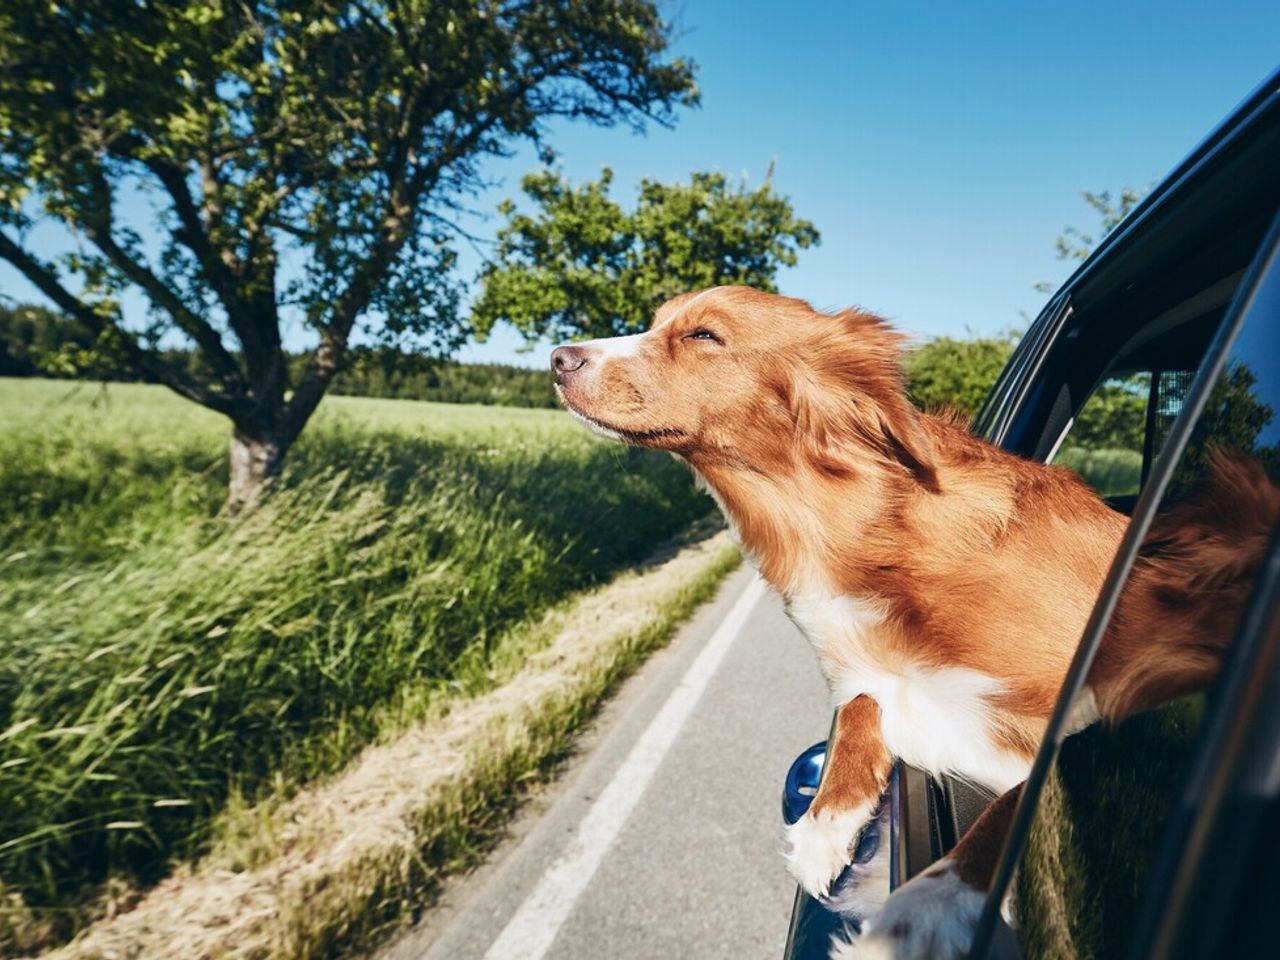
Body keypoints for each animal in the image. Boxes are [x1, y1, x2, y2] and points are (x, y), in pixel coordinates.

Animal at [550, 288, 1280, 960]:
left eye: (704, 335)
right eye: (655, 322)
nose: (558, 358)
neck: (849, 526)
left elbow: (1021, 799)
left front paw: (923, 908)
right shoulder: (874, 674)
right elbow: (861, 708)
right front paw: (825, 825)